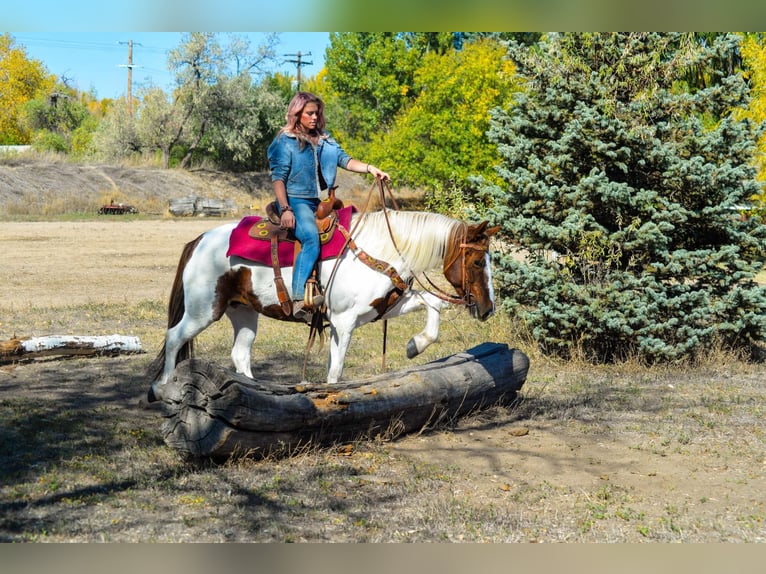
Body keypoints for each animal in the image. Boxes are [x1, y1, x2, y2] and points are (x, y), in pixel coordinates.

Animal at [147, 209, 500, 402]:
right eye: (478, 261)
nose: (487, 309)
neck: (380, 249)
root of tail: (199, 240)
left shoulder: (383, 308)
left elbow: (433, 303)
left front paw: (417, 344)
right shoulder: (344, 321)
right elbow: (336, 371)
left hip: (243, 312)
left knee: (240, 353)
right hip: (203, 310)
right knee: (174, 337)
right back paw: (162, 387)